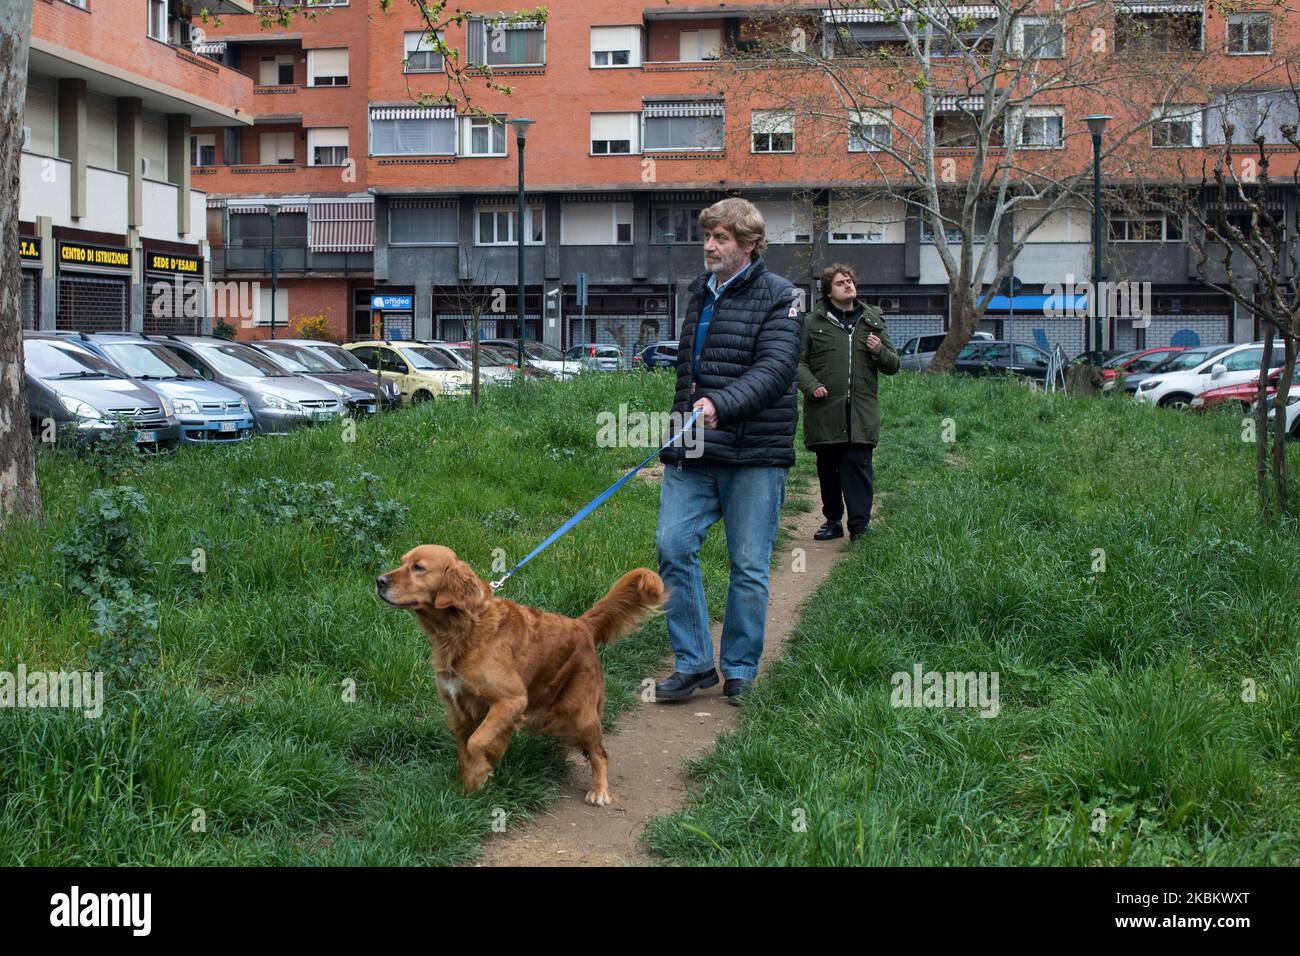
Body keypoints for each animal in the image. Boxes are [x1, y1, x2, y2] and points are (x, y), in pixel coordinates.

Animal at [374, 546, 660, 806]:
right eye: (402, 562)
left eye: (418, 567)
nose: (379, 581)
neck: (463, 631)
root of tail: (581, 625)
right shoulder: (460, 711)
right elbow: (464, 753)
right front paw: (469, 793)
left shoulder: (510, 701)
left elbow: (477, 743)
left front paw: (483, 771)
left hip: (582, 714)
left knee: (600, 754)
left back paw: (599, 790)